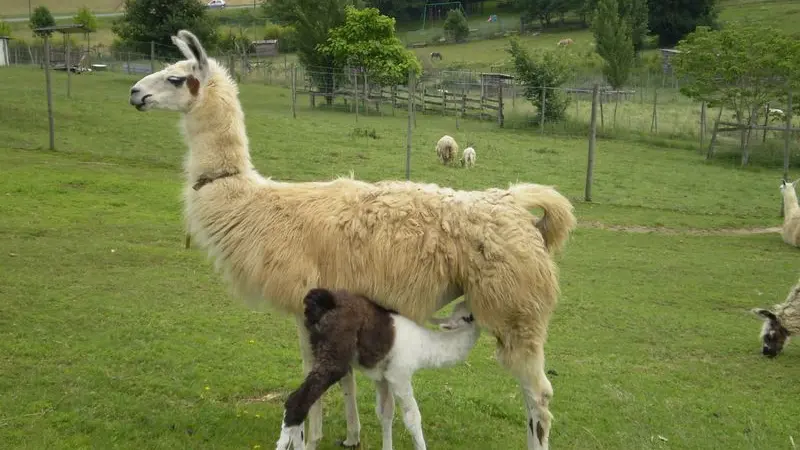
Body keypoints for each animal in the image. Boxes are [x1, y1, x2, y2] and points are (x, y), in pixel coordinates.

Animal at [278, 288, 482, 450]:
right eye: (469, 316)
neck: (424, 347)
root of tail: (325, 301)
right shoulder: (400, 375)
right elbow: (413, 418)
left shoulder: (382, 378)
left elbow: (385, 413)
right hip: (334, 356)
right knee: (297, 403)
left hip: (316, 348)